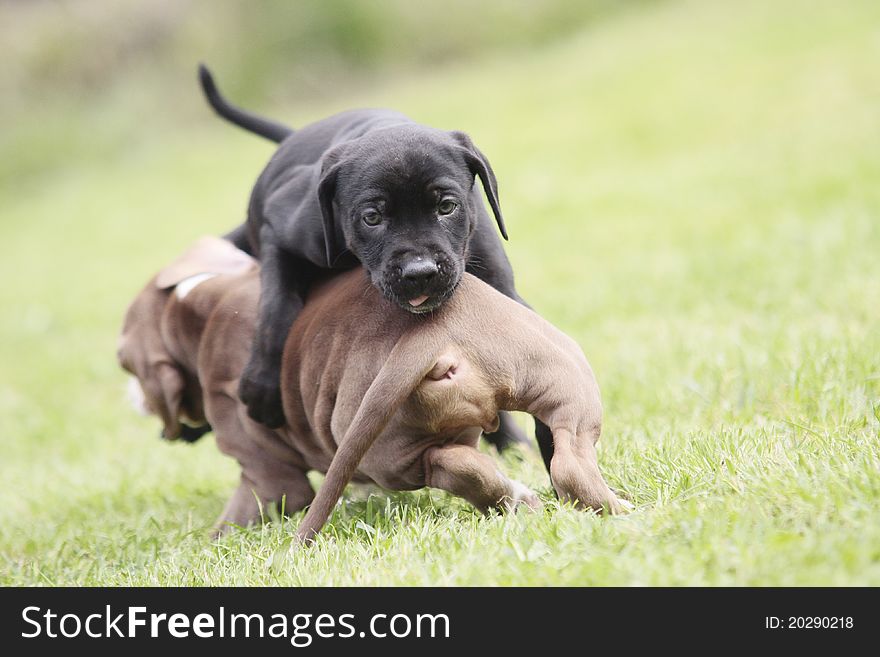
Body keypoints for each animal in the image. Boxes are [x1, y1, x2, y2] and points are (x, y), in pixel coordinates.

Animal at [120, 238, 624, 540]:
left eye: (126, 364)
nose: (133, 400)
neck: (200, 306)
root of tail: (431, 335)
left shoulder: (265, 475)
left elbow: (236, 518)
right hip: (562, 375)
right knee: (561, 456)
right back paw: (601, 509)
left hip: (378, 443)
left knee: (446, 464)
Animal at [203, 65, 552, 466]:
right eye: (372, 217)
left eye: (446, 207)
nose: (420, 272)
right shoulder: (278, 231)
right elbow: (277, 307)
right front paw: (260, 385)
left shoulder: (502, 291)